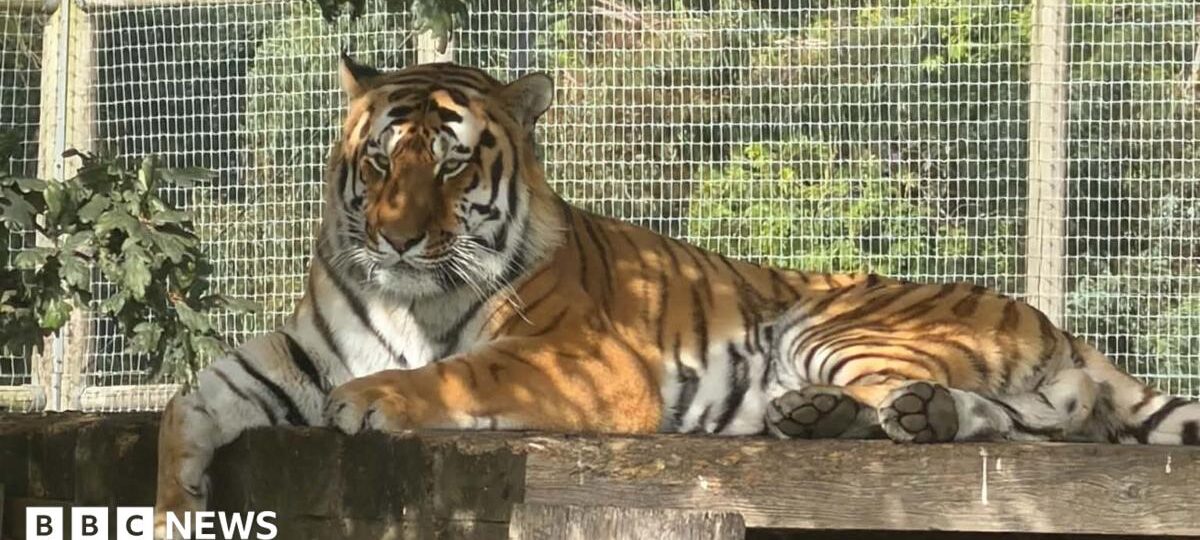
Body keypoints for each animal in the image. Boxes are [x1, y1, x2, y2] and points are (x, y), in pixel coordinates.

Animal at [154, 55, 1200, 534]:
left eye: (451, 167)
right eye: (378, 162)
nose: (399, 236)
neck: (406, 298)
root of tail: (1048, 318)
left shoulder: (585, 364)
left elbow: (456, 374)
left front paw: (373, 399)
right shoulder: (288, 354)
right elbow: (185, 409)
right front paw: (176, 511)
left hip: (831, 323)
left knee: (1020, 418)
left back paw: (874, 415)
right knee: (1039, 423)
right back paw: (833, 418)